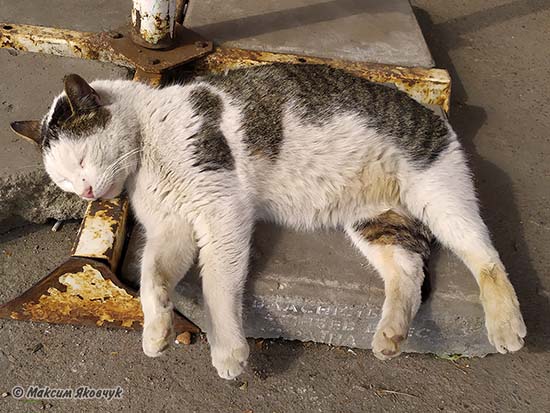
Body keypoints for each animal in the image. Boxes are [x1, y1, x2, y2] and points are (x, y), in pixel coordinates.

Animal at [12, 63, 528, 376]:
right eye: (62, 179)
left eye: (81, 160)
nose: (86, 192)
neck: (149, 140)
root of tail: (431, 110)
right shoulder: (172, 228)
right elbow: (152, 278)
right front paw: (156, 331)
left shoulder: (221, 212)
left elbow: (217, 285)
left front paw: (228, 350)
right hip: (376, 222)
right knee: (409, 272)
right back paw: (390, 335)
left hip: (440, 196)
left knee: (487, 257)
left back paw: (505, 325)